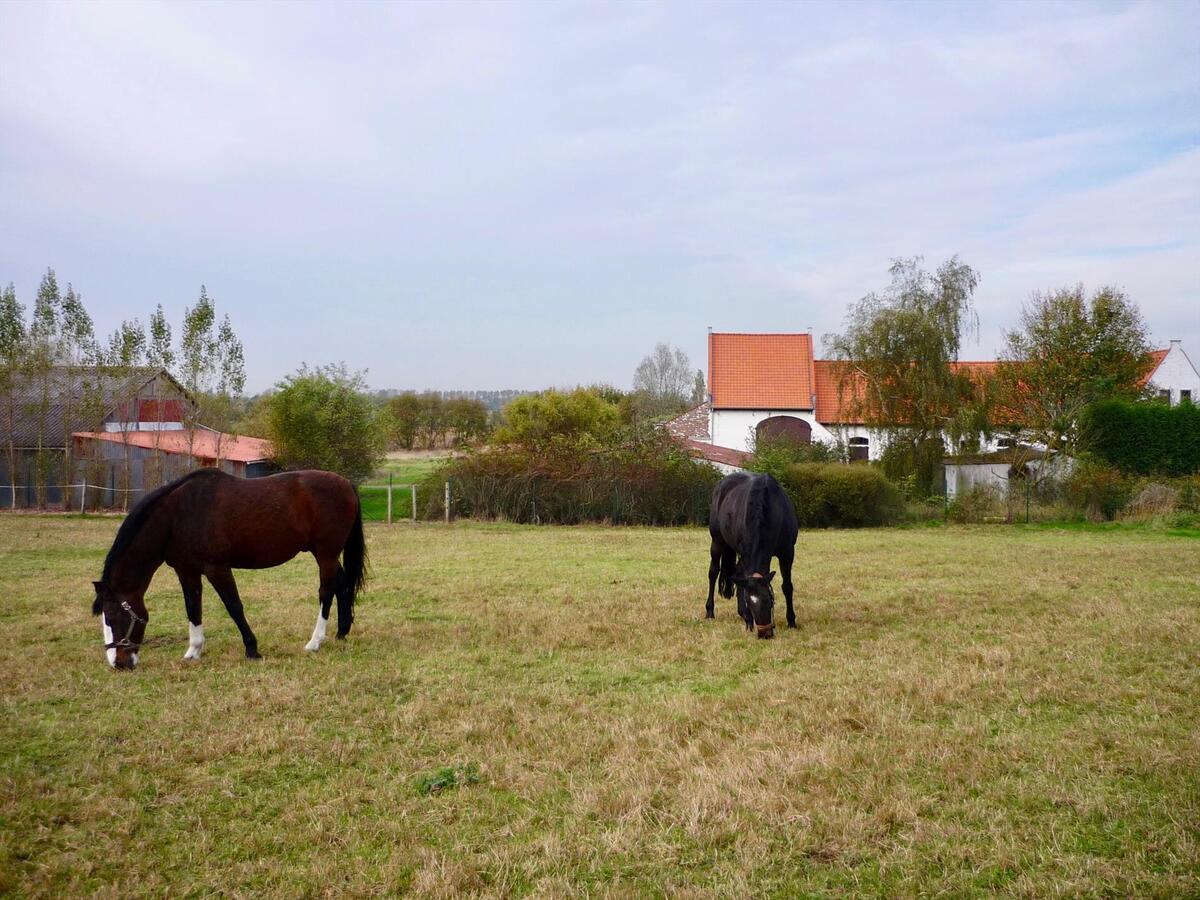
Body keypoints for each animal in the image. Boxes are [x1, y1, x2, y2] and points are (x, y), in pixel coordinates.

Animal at [91, 472, 364, 672]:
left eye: (113, 616)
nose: (118, 663)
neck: (179, 516)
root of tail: (345, 483)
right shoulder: (187, 570)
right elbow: (193, 608)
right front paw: (193, 651)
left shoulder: (217, 568)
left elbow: (234, 607)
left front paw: (252, 649)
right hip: (326, 554)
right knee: (341, 585)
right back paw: (341, 632)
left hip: (326, 553)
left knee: (326, 591)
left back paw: (315, 642)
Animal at [700, 472, 796, 643]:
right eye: (750, 603)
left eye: (769, 600)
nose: (765, 634)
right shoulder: (745, 552)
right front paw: (748, 619)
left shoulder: (788, 552)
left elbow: (787, 586)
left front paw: (791, 621)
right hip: (717, 541)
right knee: (713, 572)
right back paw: (710, 611)